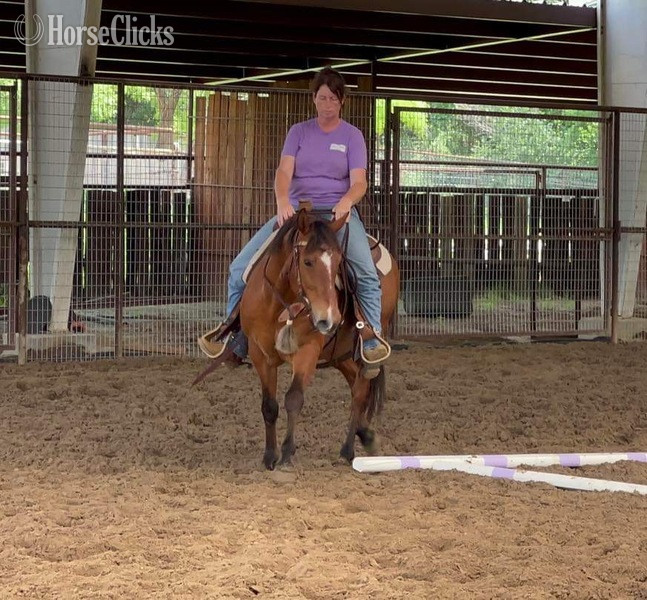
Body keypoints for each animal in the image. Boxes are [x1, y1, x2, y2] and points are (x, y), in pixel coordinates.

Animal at [223, 207, 398, 470]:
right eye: (307, 261)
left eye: (338, 262)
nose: (329, 319)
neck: (278, 305)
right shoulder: (260, 355)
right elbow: (269, 406)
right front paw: (269, 456)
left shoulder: (308, 350)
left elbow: (294, 398)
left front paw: (286, 453)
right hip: (340, 354)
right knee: (356, 384)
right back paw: (364, 434)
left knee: (360, 389)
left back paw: (349, 449)